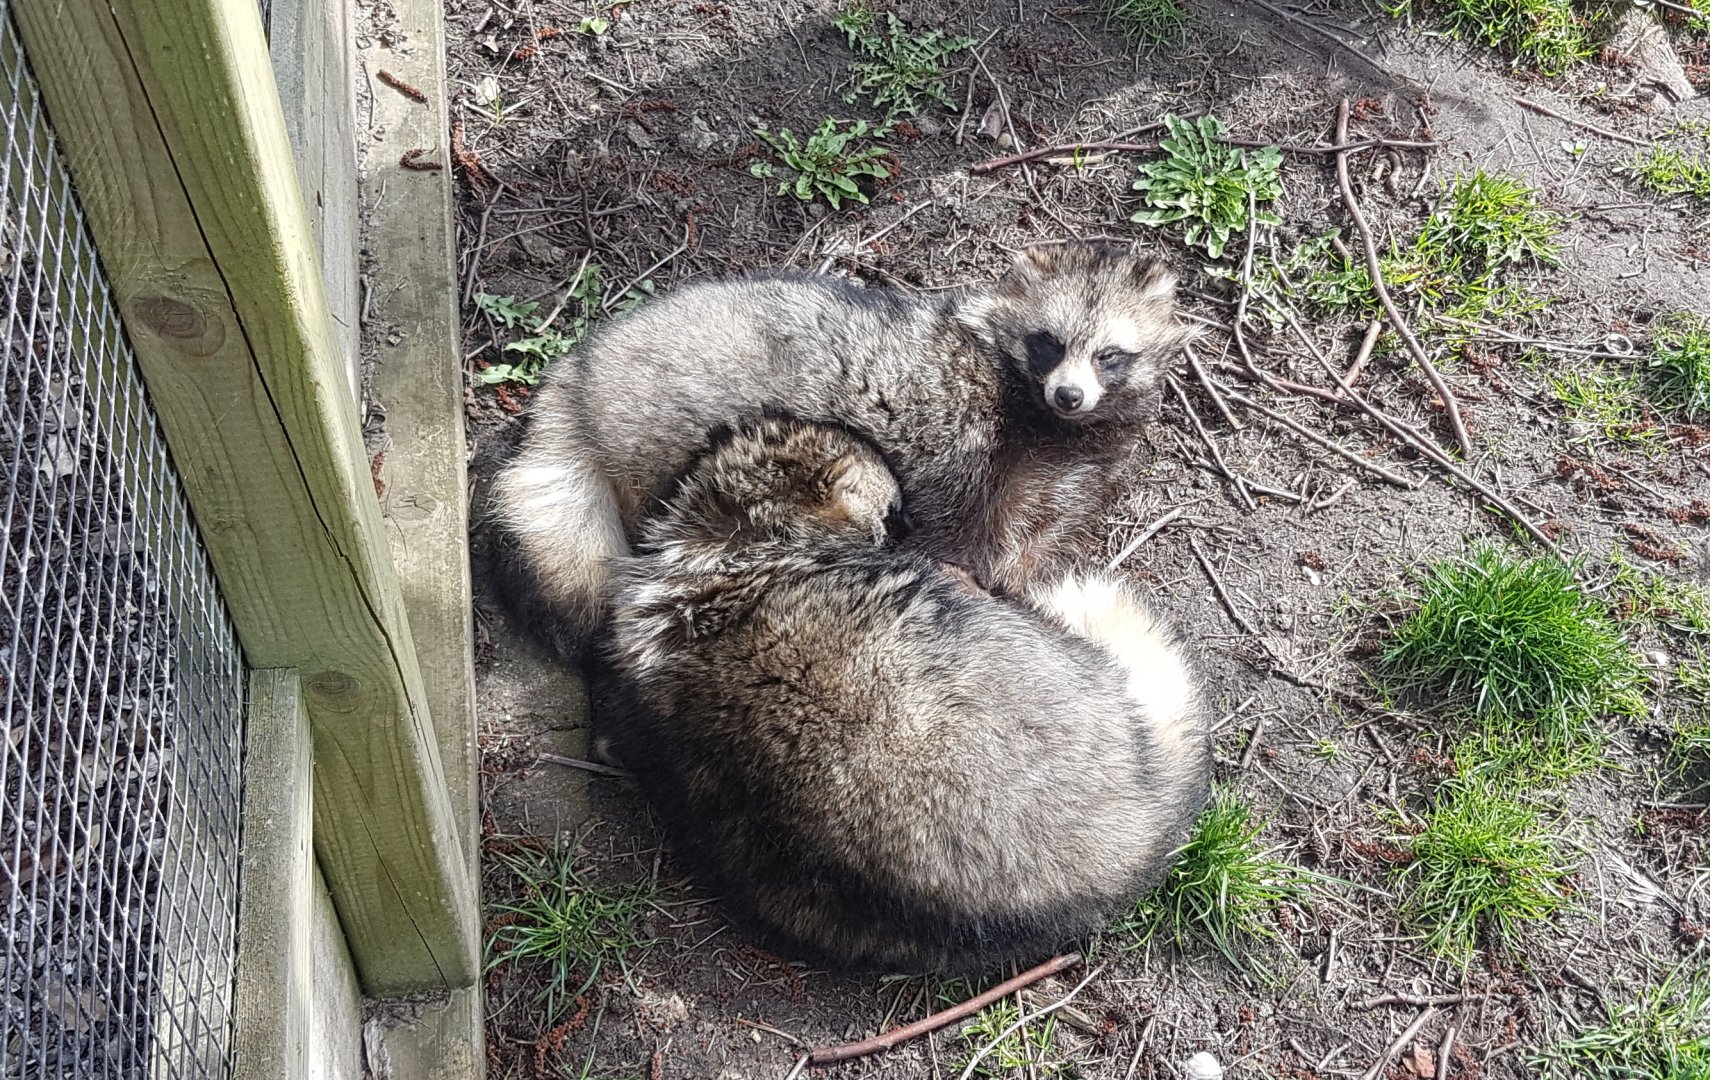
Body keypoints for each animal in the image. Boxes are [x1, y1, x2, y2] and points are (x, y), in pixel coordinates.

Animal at [492, 240, 1187, 659]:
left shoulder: (1065, 483)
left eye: (1110, 354)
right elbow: (953, 537)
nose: (1069, 393)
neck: (1049, 424)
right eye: (1049, 342)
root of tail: (581, 371)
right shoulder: (968, 446)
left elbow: (1036, 543)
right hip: (658, 426)